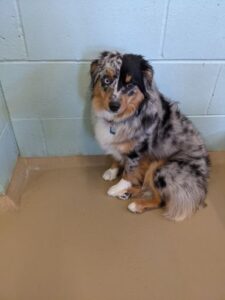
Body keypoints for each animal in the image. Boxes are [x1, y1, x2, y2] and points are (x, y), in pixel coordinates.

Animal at [89, 51, 209, 220]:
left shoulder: (136, 152)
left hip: (160, 168)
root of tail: (202, 184)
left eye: (130, 84)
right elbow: (116, 157)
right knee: (144, 187)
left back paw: (135, 204)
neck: (123, 118)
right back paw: (127, 194)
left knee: (161, 200)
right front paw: (112, 171)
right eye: (107, 80)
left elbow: (129, 172)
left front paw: (118, 186)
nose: (114, 106)